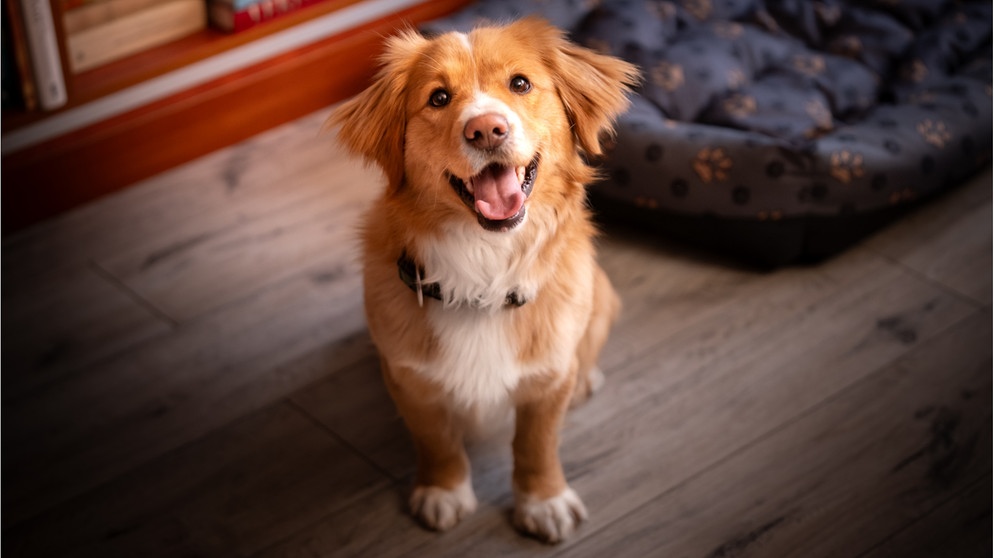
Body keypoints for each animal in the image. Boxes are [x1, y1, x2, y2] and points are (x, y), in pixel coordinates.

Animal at [332, 19, 636, 544]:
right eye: (438, 98)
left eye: (520, 83)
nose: (487, 128)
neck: (485, 270)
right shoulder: (411, 381)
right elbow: (436, 442)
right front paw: (443, 490)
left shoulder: (548, 380)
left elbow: (537, 447)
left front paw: (543, 501)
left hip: (602, 298)